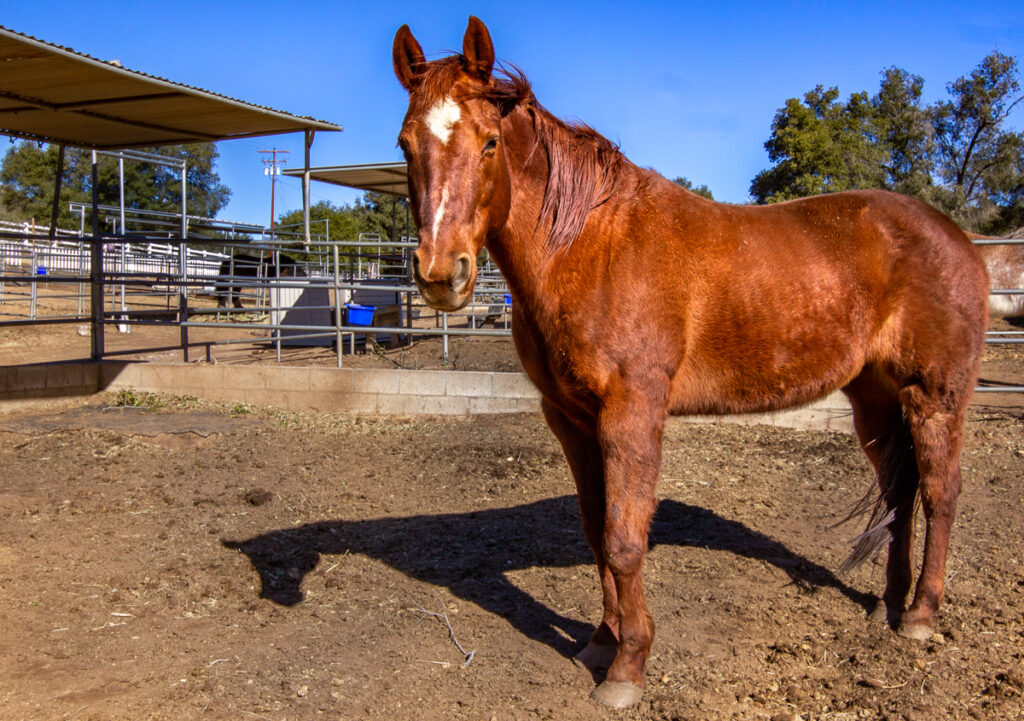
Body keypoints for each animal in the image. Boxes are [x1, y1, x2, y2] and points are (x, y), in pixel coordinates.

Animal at [392, 17, 988, 708]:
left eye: (489, 142)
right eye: (406, 145)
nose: (442, 274)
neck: (588, 245)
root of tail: (959, 240)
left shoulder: (632, 412)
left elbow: (625, 540)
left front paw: (627, 668)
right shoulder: (571, 419)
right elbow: (596, 530)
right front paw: (600, 640)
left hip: (934, 396)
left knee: (941, 494)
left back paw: (920, 616)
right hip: (874, 399)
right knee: (900, 492)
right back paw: (886, 606)